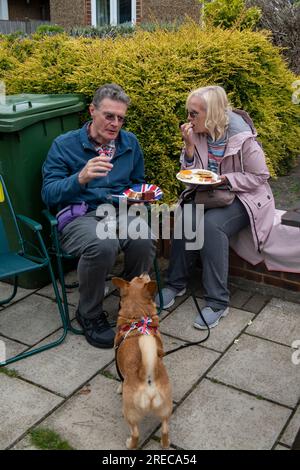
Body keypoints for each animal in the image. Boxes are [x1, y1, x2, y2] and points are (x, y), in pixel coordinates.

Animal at [112, 274, 173, 450]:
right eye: (139, 278)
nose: (145, 272)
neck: (136, 318)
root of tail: (148, 377)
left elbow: (120, 380)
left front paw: (119, 388)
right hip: (166, 408)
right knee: (165, 429)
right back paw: (165, 443)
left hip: (130, 413)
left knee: (135, 434)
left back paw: (130, 443)